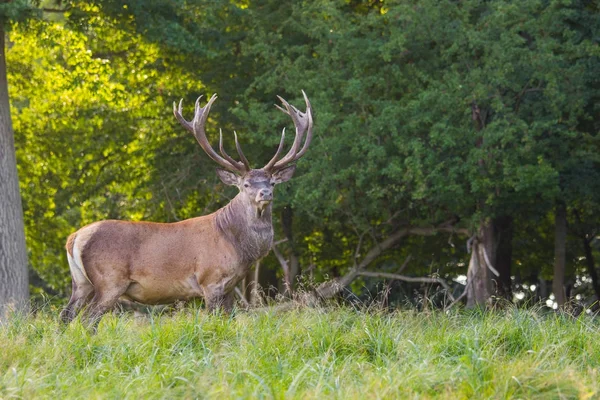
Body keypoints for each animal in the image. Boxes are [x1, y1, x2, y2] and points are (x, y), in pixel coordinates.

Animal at [59, 90, 314, 324]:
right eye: (246, 184)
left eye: (272, 182)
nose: (265, 193)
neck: (238, 247)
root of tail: (74, 238)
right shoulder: (210, 280)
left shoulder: (231, 286)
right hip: (109, 280)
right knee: (88, 319)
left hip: (80, 282)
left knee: (66, 315)